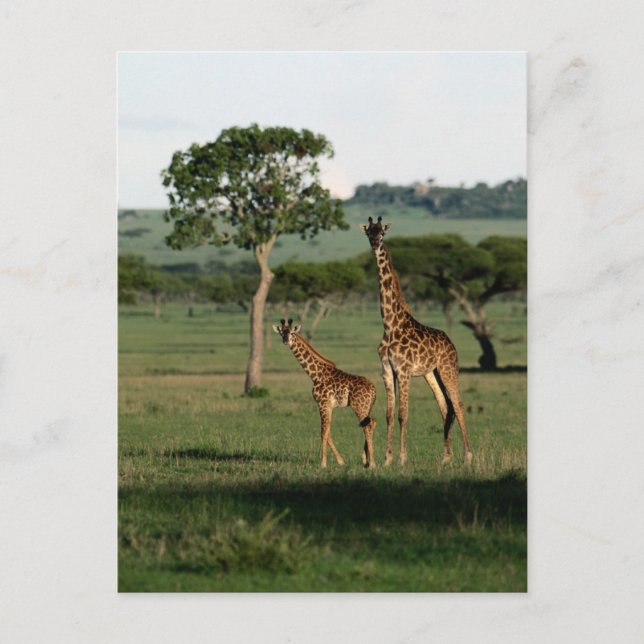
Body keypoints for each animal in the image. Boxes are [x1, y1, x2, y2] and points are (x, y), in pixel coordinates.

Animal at [273, 318, 377, 469]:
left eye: (292, 332)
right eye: (281, 332)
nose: (286, 340)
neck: (315, 375)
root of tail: (374, 390)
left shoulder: (322, 404)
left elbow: (323, 432)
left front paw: (323, 463)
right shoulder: (329, 406)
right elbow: (328, 432)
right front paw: (340, 461)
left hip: (359, 406)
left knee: (367, 427)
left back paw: (372, 463)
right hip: (367, 407)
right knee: (372, 423)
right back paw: (366, 461)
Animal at [359, 216, 473, 466]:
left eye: (382, 233)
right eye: (369, 232)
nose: (375, 243)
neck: (390, 325)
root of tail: (451, 343)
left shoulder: (404, 370)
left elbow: (403, 414)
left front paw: (402, 458)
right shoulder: (387, 370)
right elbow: (389, 414)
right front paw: (387, 459)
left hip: (448, 368)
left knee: (458, 404)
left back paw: (468, 456)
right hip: (432, 373)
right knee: (445, 407)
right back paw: (445, 458)